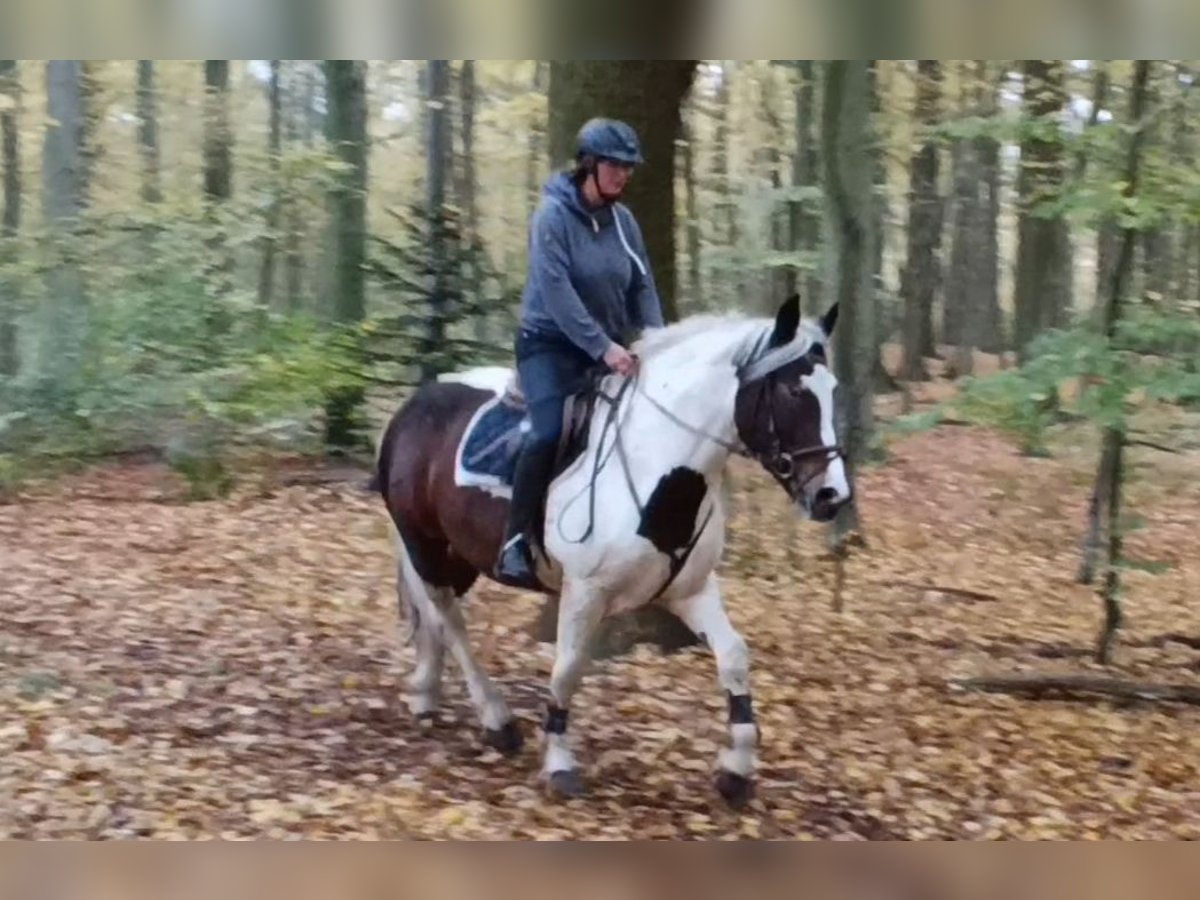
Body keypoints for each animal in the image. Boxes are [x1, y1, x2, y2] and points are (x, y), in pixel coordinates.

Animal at [369, 296, 849, 811]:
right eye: (794, 391)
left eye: (833, 389)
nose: (831, 496)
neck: (657, 462)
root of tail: (413, 406)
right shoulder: (585, 591)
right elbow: (567, 669)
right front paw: (560, 763)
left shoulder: (692, 590)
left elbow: (734, 656)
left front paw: (736, 771)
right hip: (424, 541)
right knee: (449, 619)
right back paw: (496, 720)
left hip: (458, 553)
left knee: (433, 611)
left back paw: (426, 693)